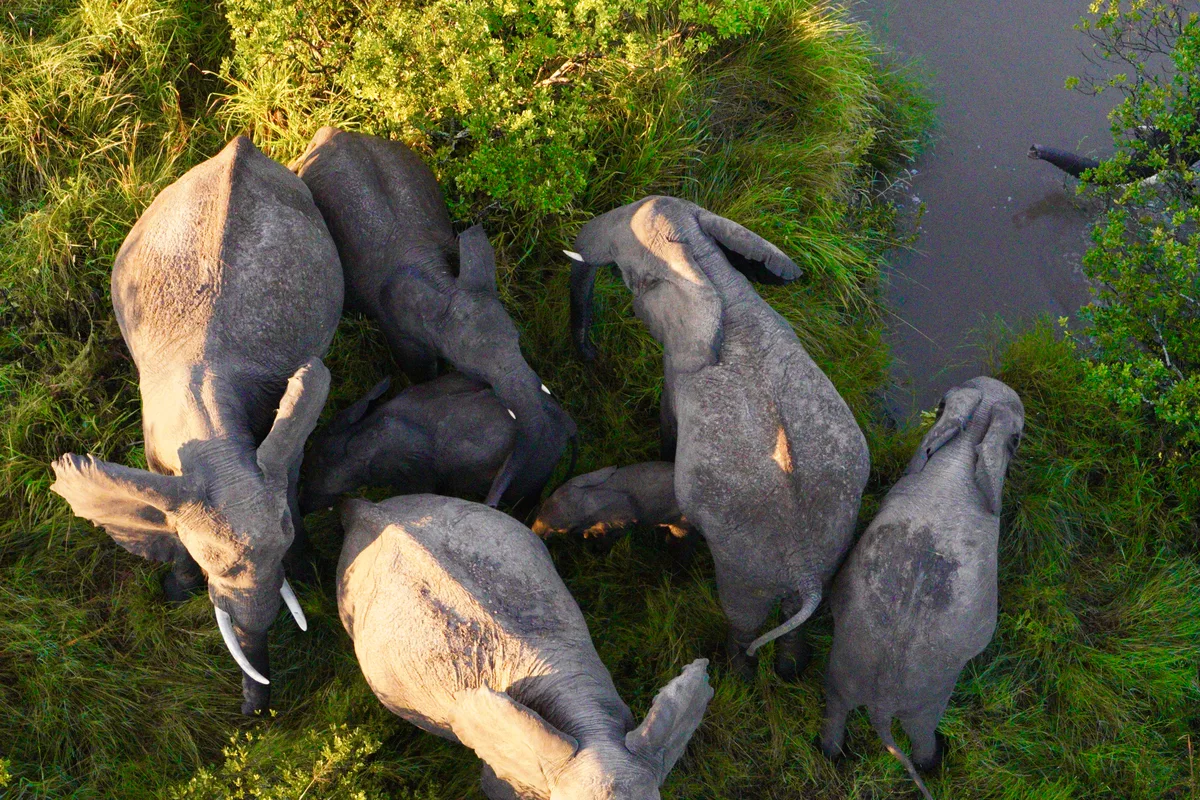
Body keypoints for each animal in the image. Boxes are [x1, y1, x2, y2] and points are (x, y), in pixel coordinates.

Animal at [50, 136, 343, 714]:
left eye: (283, 544)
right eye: (213, 569)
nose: (256, 717)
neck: (220, 449)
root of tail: (239, 146)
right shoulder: (155, 439)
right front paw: (175, 592)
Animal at [568, 196, 870, 681]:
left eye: (629, 270)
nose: (591, 356)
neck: (709, 270)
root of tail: (805, 570)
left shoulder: (679, 370)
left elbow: (669, 422)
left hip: (746, 563)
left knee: (743, 618)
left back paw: (735, 674)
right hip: (835, 541)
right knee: (798, 616)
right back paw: (788, 672)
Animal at [820, 377, 1025, 800]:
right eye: (1018, 438)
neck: (964, 447)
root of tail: (882, 705)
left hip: (842, 671)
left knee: (836, 707)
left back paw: (832, 754)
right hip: (930, 697)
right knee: (921, 736)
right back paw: (935, 762)